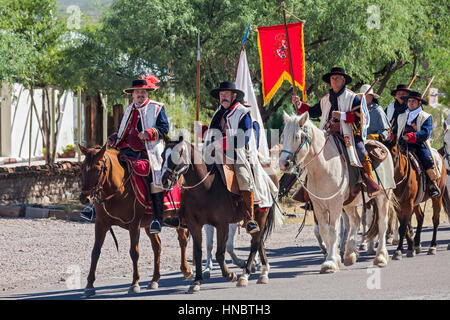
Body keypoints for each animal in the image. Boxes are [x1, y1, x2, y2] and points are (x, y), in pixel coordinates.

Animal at [79, 144, 192, 296]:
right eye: (82, 168)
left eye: (97, 169)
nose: (84, 198)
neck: (116, 190)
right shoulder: (101, 224)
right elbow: (95, 251)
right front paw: (89, 285)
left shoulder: (134, 225)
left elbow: (134, 252)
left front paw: (134, 283)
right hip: (151, 224)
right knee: (157, 246)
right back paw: (154, 279)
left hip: (178, 217)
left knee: (183, 240)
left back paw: (186, 270)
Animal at [162, 138, 278, 292]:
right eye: (162, 155)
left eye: (178, 155)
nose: (165, 181)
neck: (205, 187)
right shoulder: (195, 225)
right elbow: (199, 252)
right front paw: (197, 281)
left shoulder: (222, 225)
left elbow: (219, 253)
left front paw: (229, 275)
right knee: (259, 241)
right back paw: (264, 272)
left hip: (262, 214)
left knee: (255, 244)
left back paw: (244, 275)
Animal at [280, 112, 396, 272]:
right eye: (283, 135)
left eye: (297, 137)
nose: (283, 163)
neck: (323, 167)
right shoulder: (318, 205)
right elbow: (324, 231)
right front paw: (334, 257)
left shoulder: (335, 203)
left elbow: (333, 230)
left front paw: (330, 262)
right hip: (349, 203)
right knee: (356, 220)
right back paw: (350, 254)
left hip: (383, 197)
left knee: (382, 223)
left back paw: (380, 257)